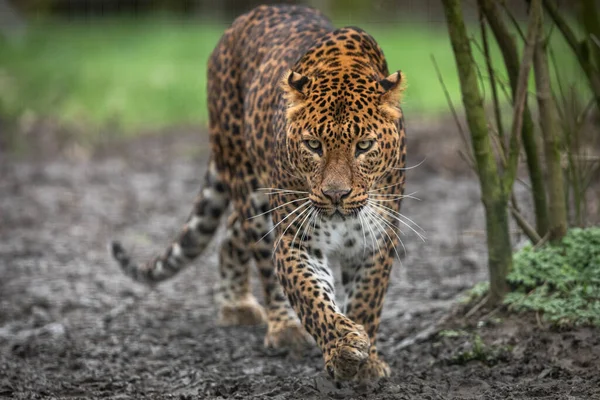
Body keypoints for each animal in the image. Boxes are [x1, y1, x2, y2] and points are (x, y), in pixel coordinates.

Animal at [110, 4, 408, 382]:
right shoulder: (297, 240)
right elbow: (312, 298)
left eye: (364, 146)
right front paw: (342, 347)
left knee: (231, 233)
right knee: (261, 256)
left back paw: (235, 304)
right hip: (251, 188)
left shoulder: (376, 241)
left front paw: (368, 360)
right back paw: (283, 327)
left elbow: (368, 301)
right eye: (313, 145)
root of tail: (244, 18)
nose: (336, 195)